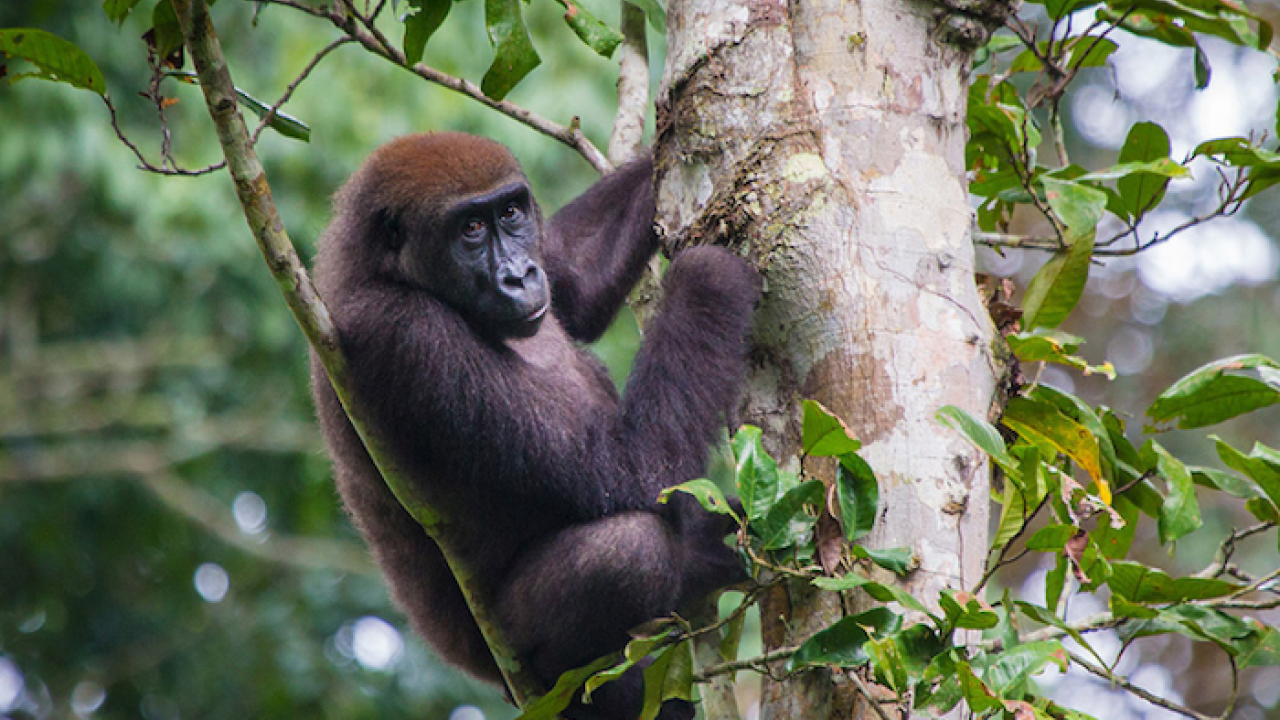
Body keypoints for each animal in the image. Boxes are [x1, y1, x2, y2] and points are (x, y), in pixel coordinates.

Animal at [310, 132, 759, 720]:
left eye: (510, 213)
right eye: (470, 229)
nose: (520, 275)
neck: (380, 267)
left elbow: (574, 278)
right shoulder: (407, 333)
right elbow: (627, 469)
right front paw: (708, 278)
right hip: (507, 656)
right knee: (629, 552)